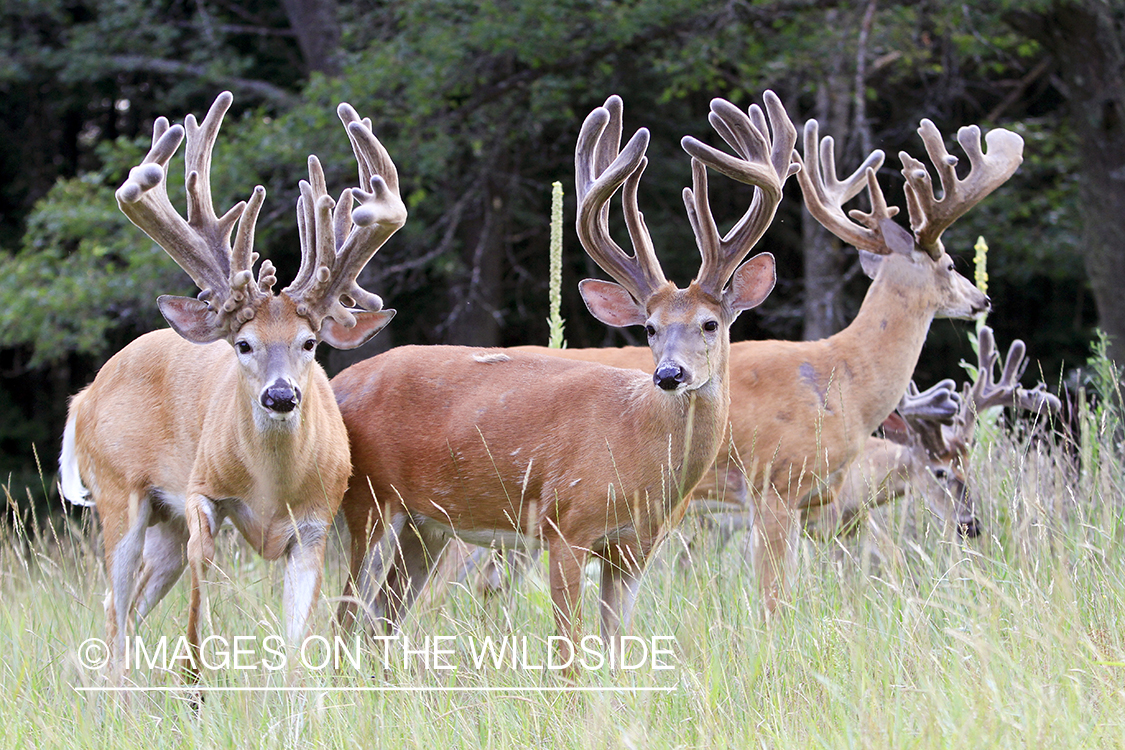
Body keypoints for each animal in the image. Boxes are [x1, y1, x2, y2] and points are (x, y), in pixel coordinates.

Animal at [55, 93, 409, 679]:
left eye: (309, 343)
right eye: (242, 344)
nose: (280, 396)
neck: (270, 487)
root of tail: (84, 395)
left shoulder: (316, 524)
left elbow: (298, 642)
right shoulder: (201, 493)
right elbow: (200, 611)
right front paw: (194, 682)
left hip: (164, 523)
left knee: (128, 603)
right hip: (118, 491)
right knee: (116, 606)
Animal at [333, 89, 801, 656]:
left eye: (710, 323)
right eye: (649, 328)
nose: (669, 375)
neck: (636, 446)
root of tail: (335, 385)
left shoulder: (635, 548)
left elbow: (617, 648)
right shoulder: (566, 525)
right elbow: (570, 652)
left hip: (427, 528)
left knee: (381, 619)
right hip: (369, 505)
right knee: (343, 616)